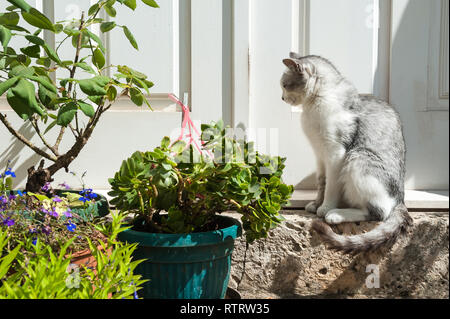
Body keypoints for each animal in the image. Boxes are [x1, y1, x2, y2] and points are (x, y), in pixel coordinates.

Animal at [280, 53, 414, 255]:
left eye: (285, 85)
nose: (281, 98)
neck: (313, 107)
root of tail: (401, 200)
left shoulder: (335, 153)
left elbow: (331, 186)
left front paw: (325, 207)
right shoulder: (319, 155)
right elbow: (322, 183)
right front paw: (316, 204)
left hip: (358, 157)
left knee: (379, 212)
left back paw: (335, 214)